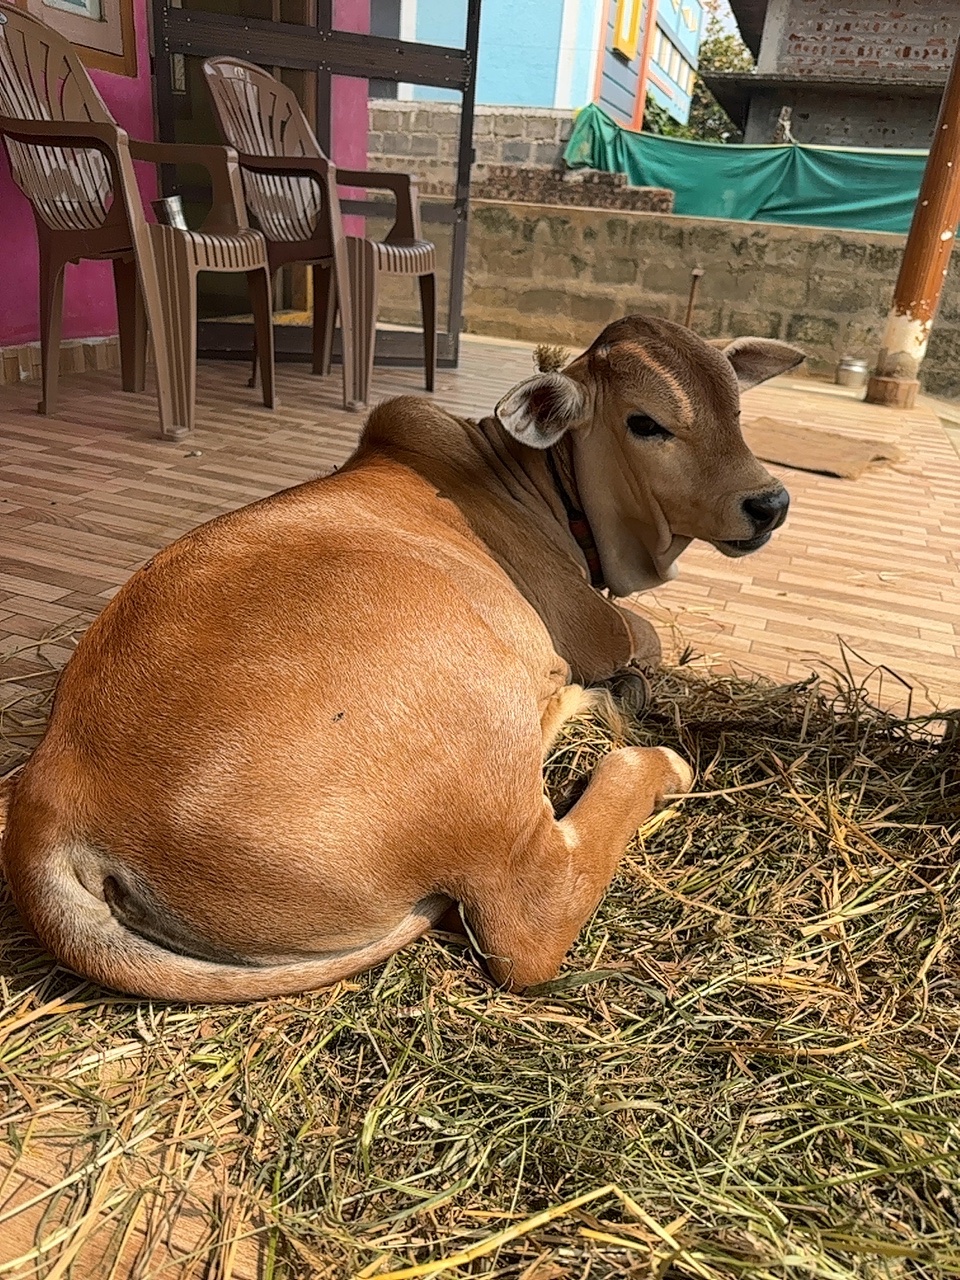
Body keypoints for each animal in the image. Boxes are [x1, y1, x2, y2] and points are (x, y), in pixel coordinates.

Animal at [0, 316, 803, 1001]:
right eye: (646, 423)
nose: (768, 503)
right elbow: (648, 636)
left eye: (736, 408)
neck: (532, 481)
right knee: (533, 916)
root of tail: (55, 795)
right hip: (478, 741)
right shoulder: (595, 628)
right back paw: (640, 749)